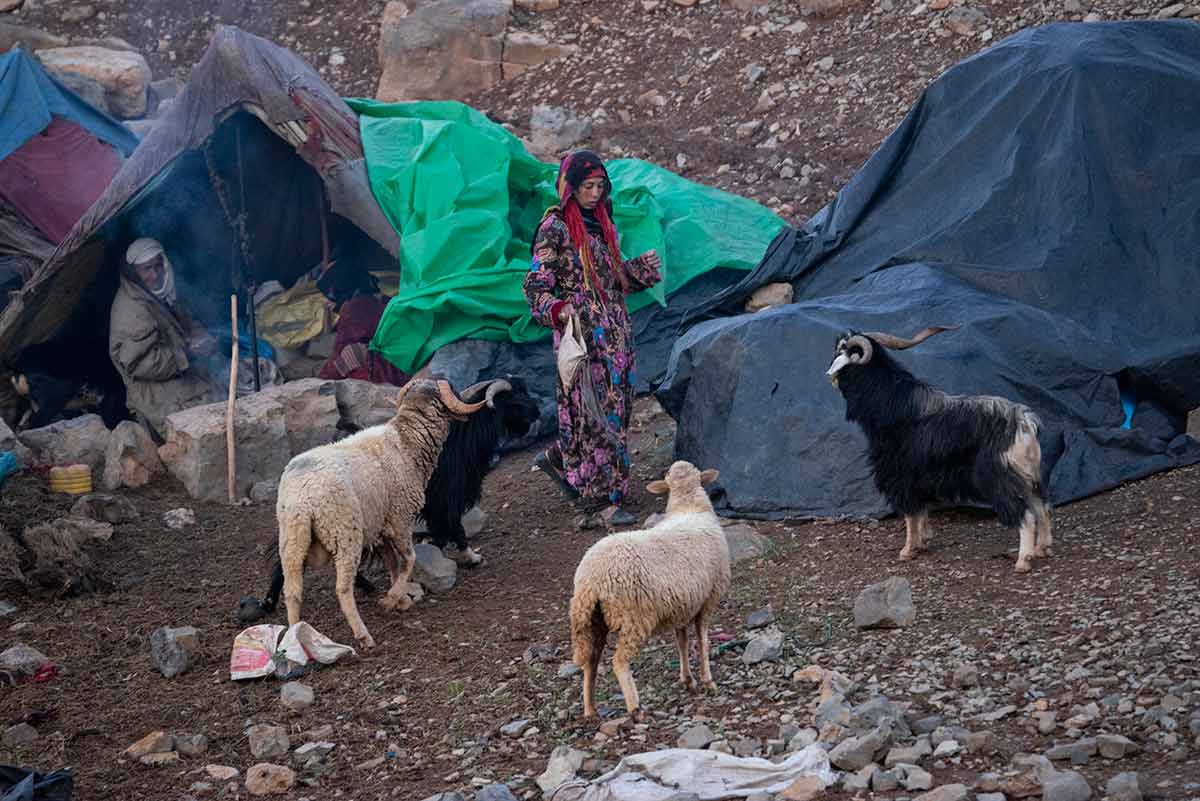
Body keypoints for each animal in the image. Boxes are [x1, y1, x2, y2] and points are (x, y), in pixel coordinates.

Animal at [238, 371, 540, 623]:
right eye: (515, 398)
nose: (537, 411)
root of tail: (299, 488)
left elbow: (435, 537)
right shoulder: (439, 501)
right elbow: (453, 530)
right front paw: (470, 557)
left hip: (306, 527)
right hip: (344, 525)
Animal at [276, 376, 487, 652]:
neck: (407, 441)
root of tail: (303, 499)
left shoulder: (380, 526)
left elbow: (392, 564)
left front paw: (401, 600)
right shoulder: (399, 518)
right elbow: (408, 559)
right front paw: (391, 600)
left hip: (292, 540)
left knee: (292, 592)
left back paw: (295, 636)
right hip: (345, 533)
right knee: (343, 588)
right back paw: (363, 635)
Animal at [568, 460, 729, 724]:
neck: (689, 507)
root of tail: (589, 580)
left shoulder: (681, 606)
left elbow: (682, 641)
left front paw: (688, 680)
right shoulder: (708, 598)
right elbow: (702, 640)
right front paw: (708, 681)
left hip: (594, 621)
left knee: (591, 662)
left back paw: (590, 710)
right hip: (634, 619)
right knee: (618, 662)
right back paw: (635, 708)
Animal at [825, 328, 1051, 573]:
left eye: (845, 351)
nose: (829, 375)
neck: (896, 405)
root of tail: (1024, 423)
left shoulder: (901, 476)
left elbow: (910, 514)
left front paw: (907, 550)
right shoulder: (919, 479)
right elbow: (921, 512)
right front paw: (923, 542)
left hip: (999, 478)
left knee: (1027, 516)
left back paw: (1023, 560)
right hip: (1028, 477)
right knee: (1042, 508)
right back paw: (1042, 549)